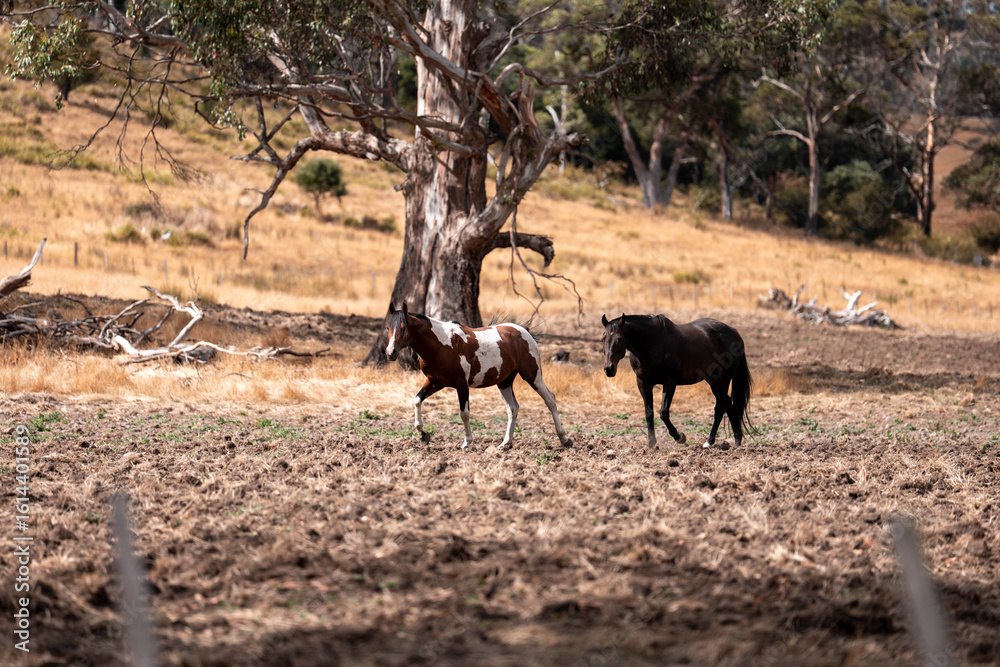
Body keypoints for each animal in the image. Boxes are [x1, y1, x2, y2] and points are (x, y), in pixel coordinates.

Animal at [385, 303, 572, 451]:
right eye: (388, 328)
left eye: (403, 328)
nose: (390, 353)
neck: (441, 345)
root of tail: (524, 331)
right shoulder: (434, 382)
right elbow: (417, 400)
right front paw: (423, 435)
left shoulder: (461, 385)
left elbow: (464, 413)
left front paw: (467, 443)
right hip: (504, 382)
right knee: (513, 408)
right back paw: (505, 443)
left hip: (532, 375)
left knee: (550, 399)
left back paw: (564, 439)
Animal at [601, 313, 753, 449]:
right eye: (603, 339)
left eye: (619, 339)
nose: (609, 368)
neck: (652, 343)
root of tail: (734, 332)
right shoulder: (643, 383)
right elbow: (649, 413)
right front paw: (651, 443)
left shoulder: (670, 383)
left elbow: (663, 412)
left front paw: (679, 437)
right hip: (713, 381)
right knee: (727, 405)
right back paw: (735, 440)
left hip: (723, 380)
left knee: (720, 408)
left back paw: (711, 442)